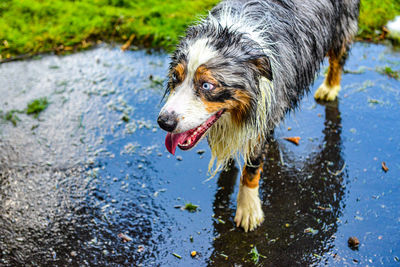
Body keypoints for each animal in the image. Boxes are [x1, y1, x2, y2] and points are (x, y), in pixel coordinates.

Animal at [156, 0, 360, 232]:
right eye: (175, 77)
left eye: (207, 85)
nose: (164, 122)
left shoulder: (264, 115)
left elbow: (252, 168)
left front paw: (248, 210)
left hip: (342, 25)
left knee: (338, 58)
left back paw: (330, 87)